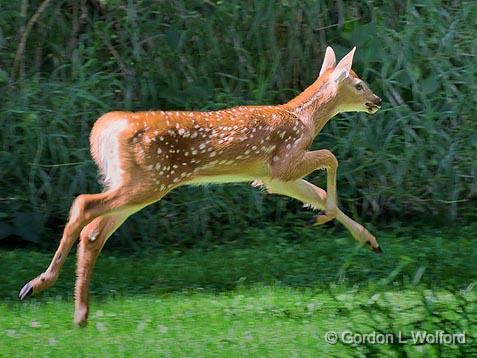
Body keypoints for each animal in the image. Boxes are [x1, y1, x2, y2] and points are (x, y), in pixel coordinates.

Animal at [19, 46, 384, 326]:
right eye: (360, 84)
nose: (378, 100)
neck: (303, 119)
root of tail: (107, 129)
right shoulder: (285, 160)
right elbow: (331, 157)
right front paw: (326, 217)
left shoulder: (271, 177)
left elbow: (317, 193)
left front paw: (367, 239)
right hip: (149, 181)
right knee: (84, 204)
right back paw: (44, 287)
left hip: (137, 183)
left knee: (94, 232)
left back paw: (75, 310)